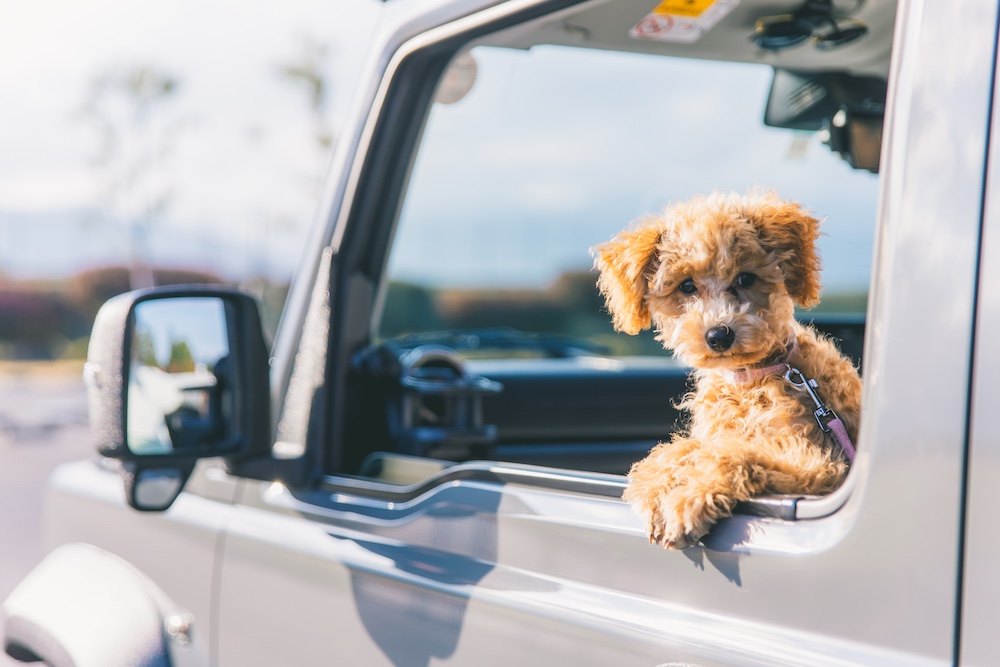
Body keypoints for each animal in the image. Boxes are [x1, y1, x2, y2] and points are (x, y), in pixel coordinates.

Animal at [592, 190, 860, 552]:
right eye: (687, 286)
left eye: (745, 278)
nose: (719, 335)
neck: (749, 380)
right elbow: (683, 449)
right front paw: (655, 481)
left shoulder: (817, 462)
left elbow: (734, 454)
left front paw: (686, 499)